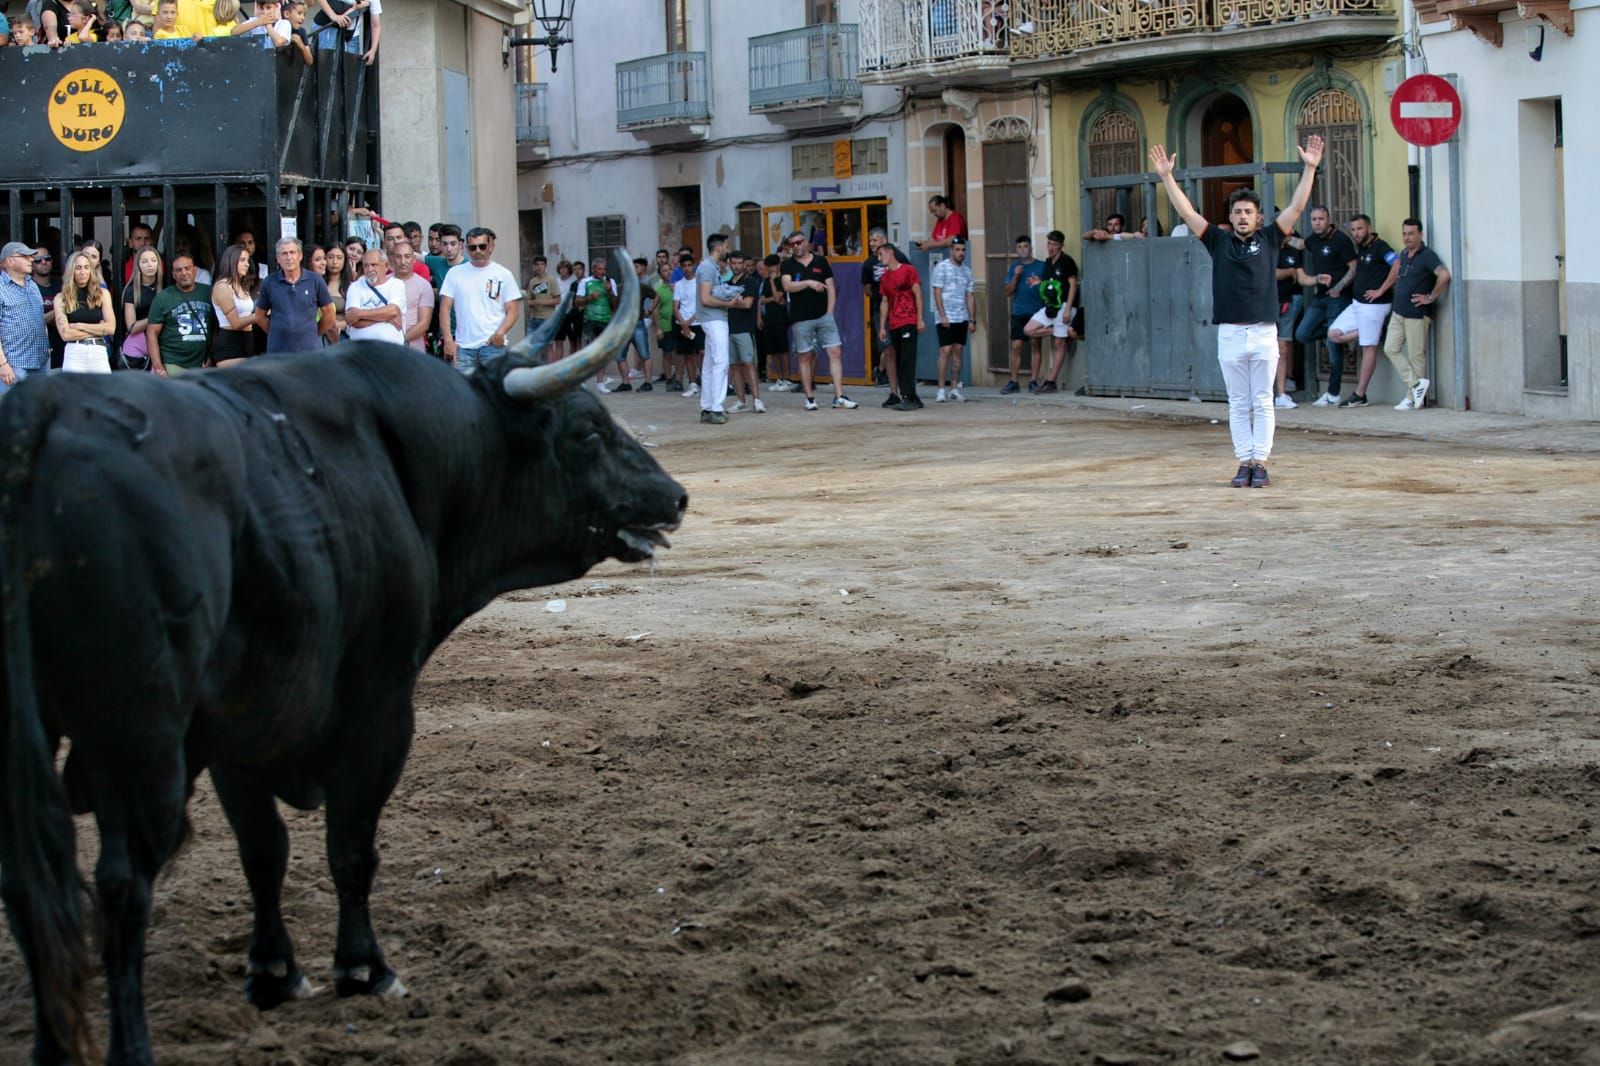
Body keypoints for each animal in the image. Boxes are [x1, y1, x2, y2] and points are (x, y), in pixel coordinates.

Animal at [0, 246, 681, 1056]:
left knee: (34, 891)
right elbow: (350, 844)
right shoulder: (377, 708)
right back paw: (129, 1044)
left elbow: (264, 852)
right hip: (137, 740)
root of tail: (41, 414)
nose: (673, 495)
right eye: (586, 432)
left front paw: (272, 972)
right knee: (121, 881)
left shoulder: (239, 731)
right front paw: (363, 967)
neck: (404, 463)